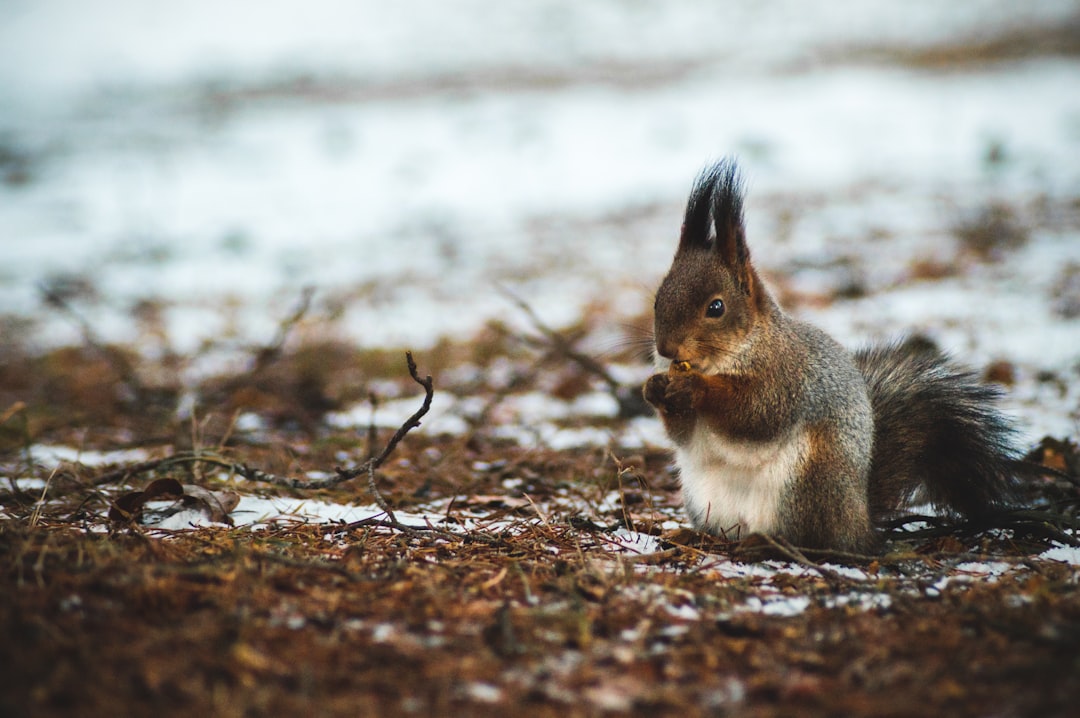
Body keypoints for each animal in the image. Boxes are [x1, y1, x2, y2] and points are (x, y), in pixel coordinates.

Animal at [643, 160, 1023, 552]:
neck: (732, 354)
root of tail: (859, 521)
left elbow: (756, 412)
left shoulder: (787, 376)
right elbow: (682, 435)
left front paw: (695, 387)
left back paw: (765, 542)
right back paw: (691, 534)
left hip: (809, 482)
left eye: (716, 307)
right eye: (657, 299)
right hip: (703, 497)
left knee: (809, 537)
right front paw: (653, 388)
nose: (666, 349)